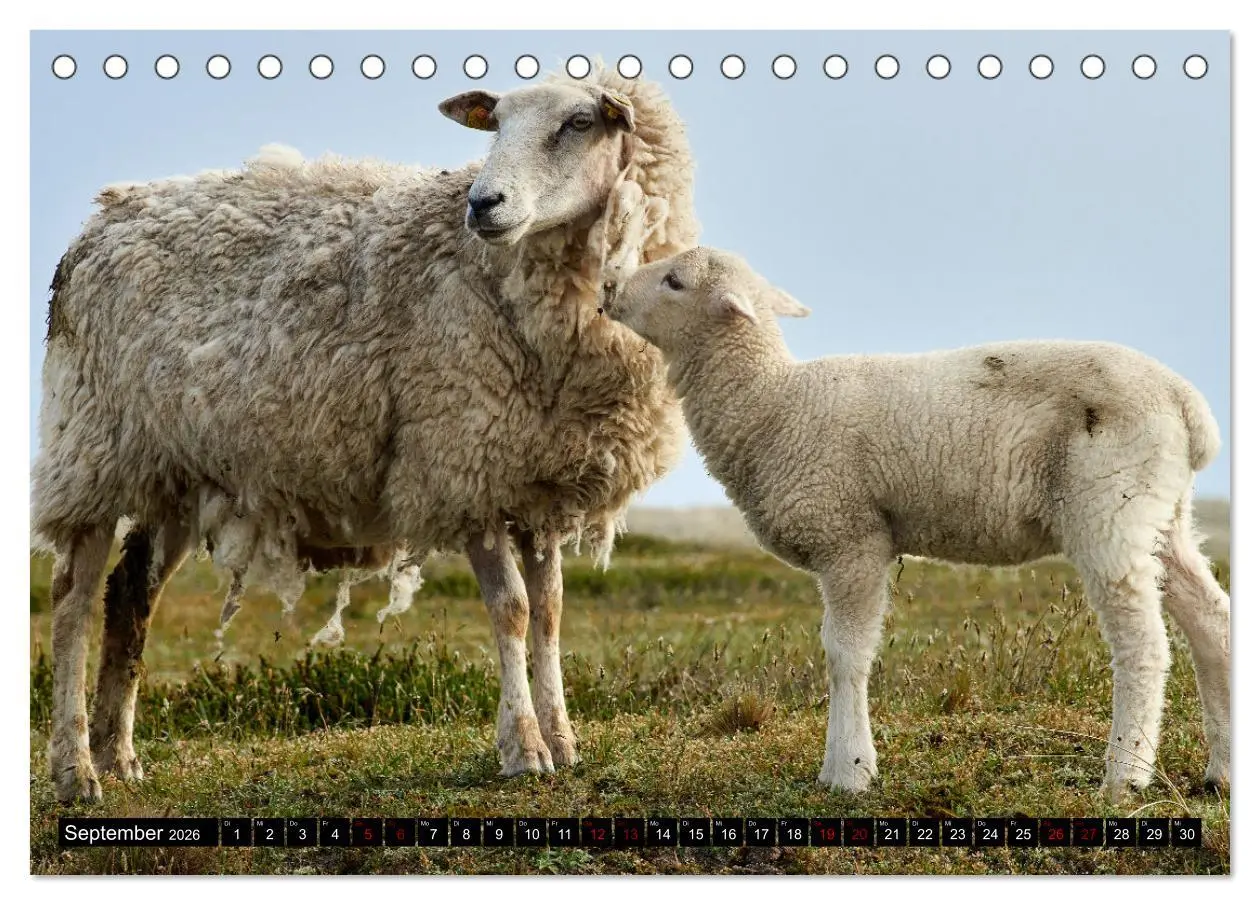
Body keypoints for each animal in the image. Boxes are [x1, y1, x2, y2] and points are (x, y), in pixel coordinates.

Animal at [33, 67, 697, 803]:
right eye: (495, 126)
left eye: (579, 123)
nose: (482, 204)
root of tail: (98, 223)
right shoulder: (456, 463)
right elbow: (512, 610)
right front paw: (523, 748)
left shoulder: (532, 479)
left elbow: (550, 610)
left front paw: (563, 740)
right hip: (91, 447)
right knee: (72, 599)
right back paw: (75, 769)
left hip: (172, 469)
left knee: (129, 597)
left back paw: (118, 756)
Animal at [604, 247, 1230, 803]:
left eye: (676, 281)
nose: (608, 287)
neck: (772, 404)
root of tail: (1186, 405)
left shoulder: (851, 539)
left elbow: (845, 654)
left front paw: (848, 772)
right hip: (1160, 511)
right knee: (1210, 618)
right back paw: (1220, 770)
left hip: (1110, 506)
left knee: (1143, 644)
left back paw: (1125, 777)